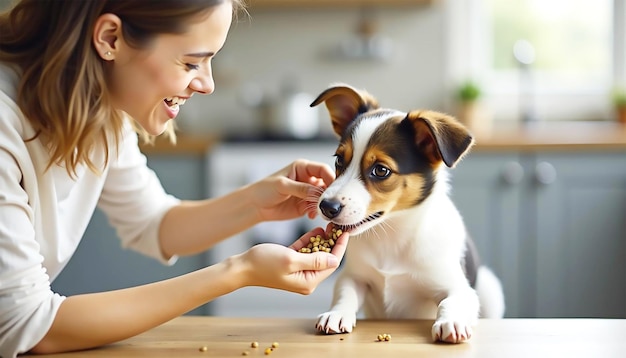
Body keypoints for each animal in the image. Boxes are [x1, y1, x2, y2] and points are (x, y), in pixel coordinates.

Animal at [310, 84, 504, 344]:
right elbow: (345, 293)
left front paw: (451, 321)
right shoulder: (354, 276)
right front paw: (336, 313)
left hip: (490, 289)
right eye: (339, 160)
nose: (326, 207)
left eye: (381, 170)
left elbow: (452, 301)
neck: (393, 233)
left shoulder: (458, 286)